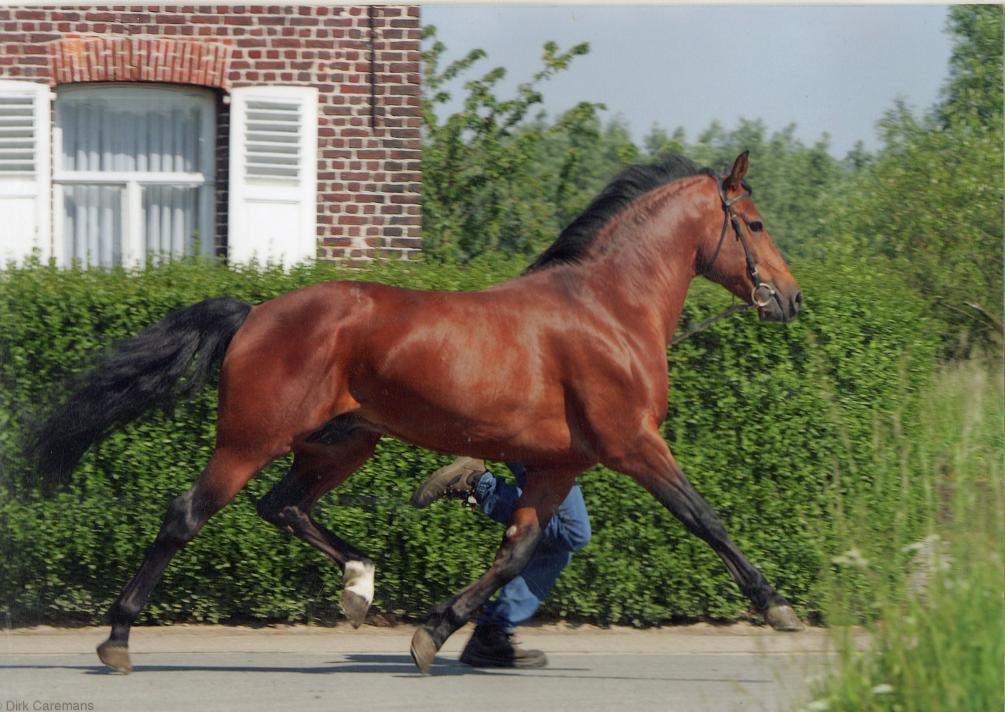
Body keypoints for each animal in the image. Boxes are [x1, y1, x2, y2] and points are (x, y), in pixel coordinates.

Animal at [27, 149, 804, 671]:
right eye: (757, 222)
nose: (791, 298)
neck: (609, 309)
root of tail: (255, 314)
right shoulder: (634, 443)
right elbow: (704, 518)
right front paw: (777, 606)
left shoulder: (562, 462)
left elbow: (518, 550)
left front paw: (433, 633)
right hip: (250, 440)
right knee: (187, 514)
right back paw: (117, 639)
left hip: (341, 443)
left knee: (282, 505)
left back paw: (360, 583)